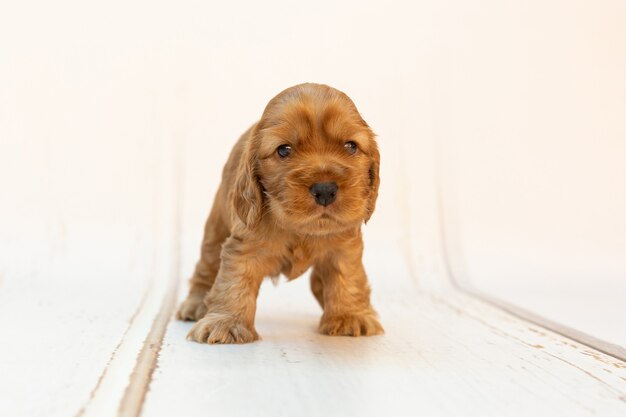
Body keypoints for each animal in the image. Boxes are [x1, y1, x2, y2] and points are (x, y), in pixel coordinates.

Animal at [174, 83, 380, 342]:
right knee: (207, 265)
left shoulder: (344, 247)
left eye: (351, 146)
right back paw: (196, 303)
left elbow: (348, 278)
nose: (325, 190)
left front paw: (349, 316)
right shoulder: (244, 244)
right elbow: (233, 280)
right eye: (284, 150)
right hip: (216, 227)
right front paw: (226, 322)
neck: (301, 229)